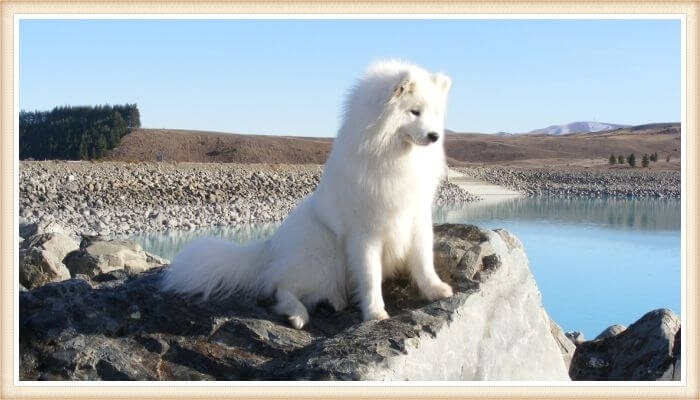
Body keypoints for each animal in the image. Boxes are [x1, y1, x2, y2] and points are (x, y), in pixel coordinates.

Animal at [163, 59, 456, 328]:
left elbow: (423, 260)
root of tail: (270, 247)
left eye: (434, 114)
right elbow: (370, 276)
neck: (394, 155)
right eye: (414, 112)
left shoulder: (416, 217)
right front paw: (375, 313)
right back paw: (297, 315)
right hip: (323, 257)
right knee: (279, 288)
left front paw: (435, 289)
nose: (434, 136)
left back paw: (332, 302)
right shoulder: (365, 233)